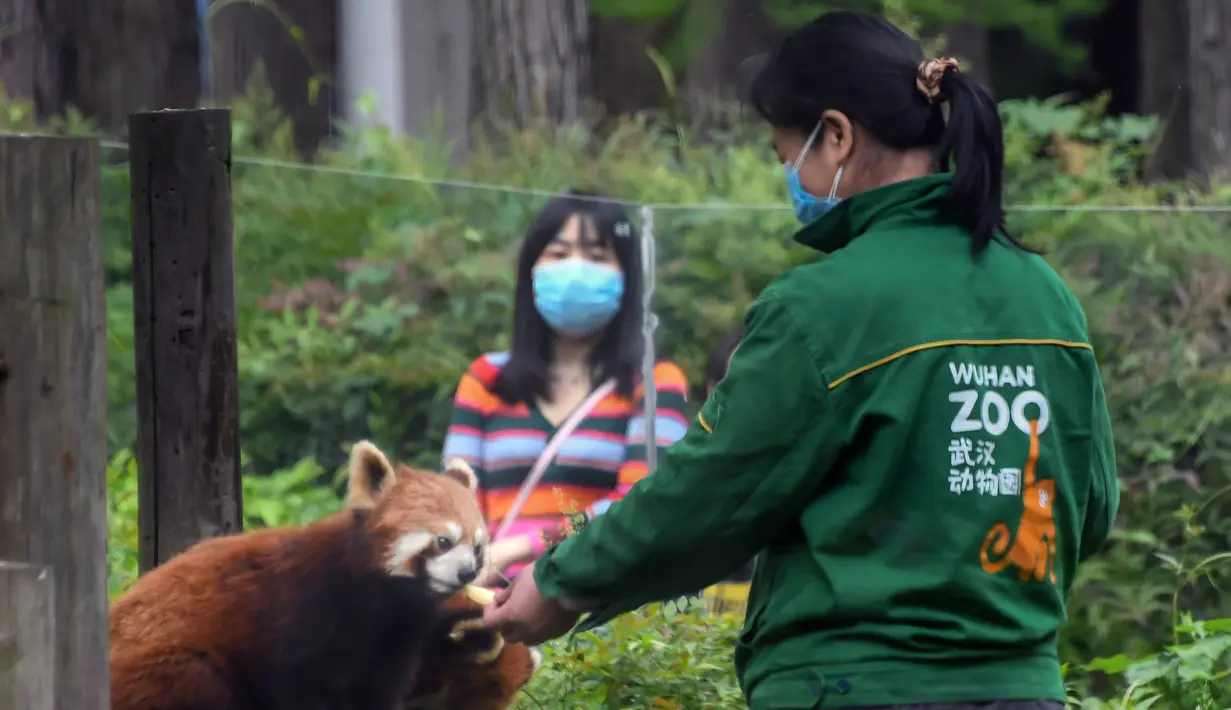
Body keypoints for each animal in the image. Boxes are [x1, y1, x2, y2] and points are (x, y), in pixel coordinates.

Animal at [109, 440, 489, 710]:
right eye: (443, 541)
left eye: (478, 547)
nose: (467, 572)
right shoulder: (304, 619)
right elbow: (296, 688)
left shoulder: (392, 648)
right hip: (167, 671)